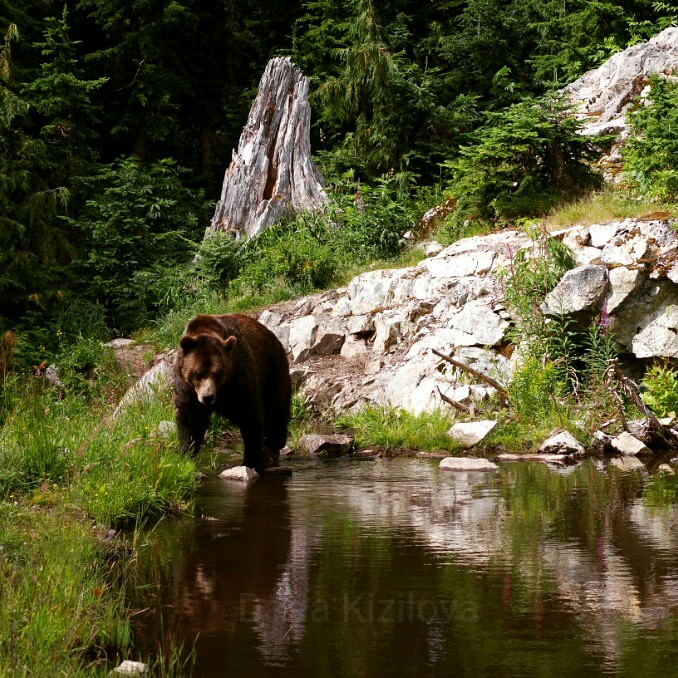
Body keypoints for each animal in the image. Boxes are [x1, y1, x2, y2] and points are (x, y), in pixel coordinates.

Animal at [173, 314, 292, 470]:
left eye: (218, 373)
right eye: (198, 373)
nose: (207, 397)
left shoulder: (238, 377)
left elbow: (250, 415)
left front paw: (251, 461)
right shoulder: (187, 387)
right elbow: (189, 418)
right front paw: (187, 455)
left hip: (273, 369)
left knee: (276, 409)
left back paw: (271, 448)